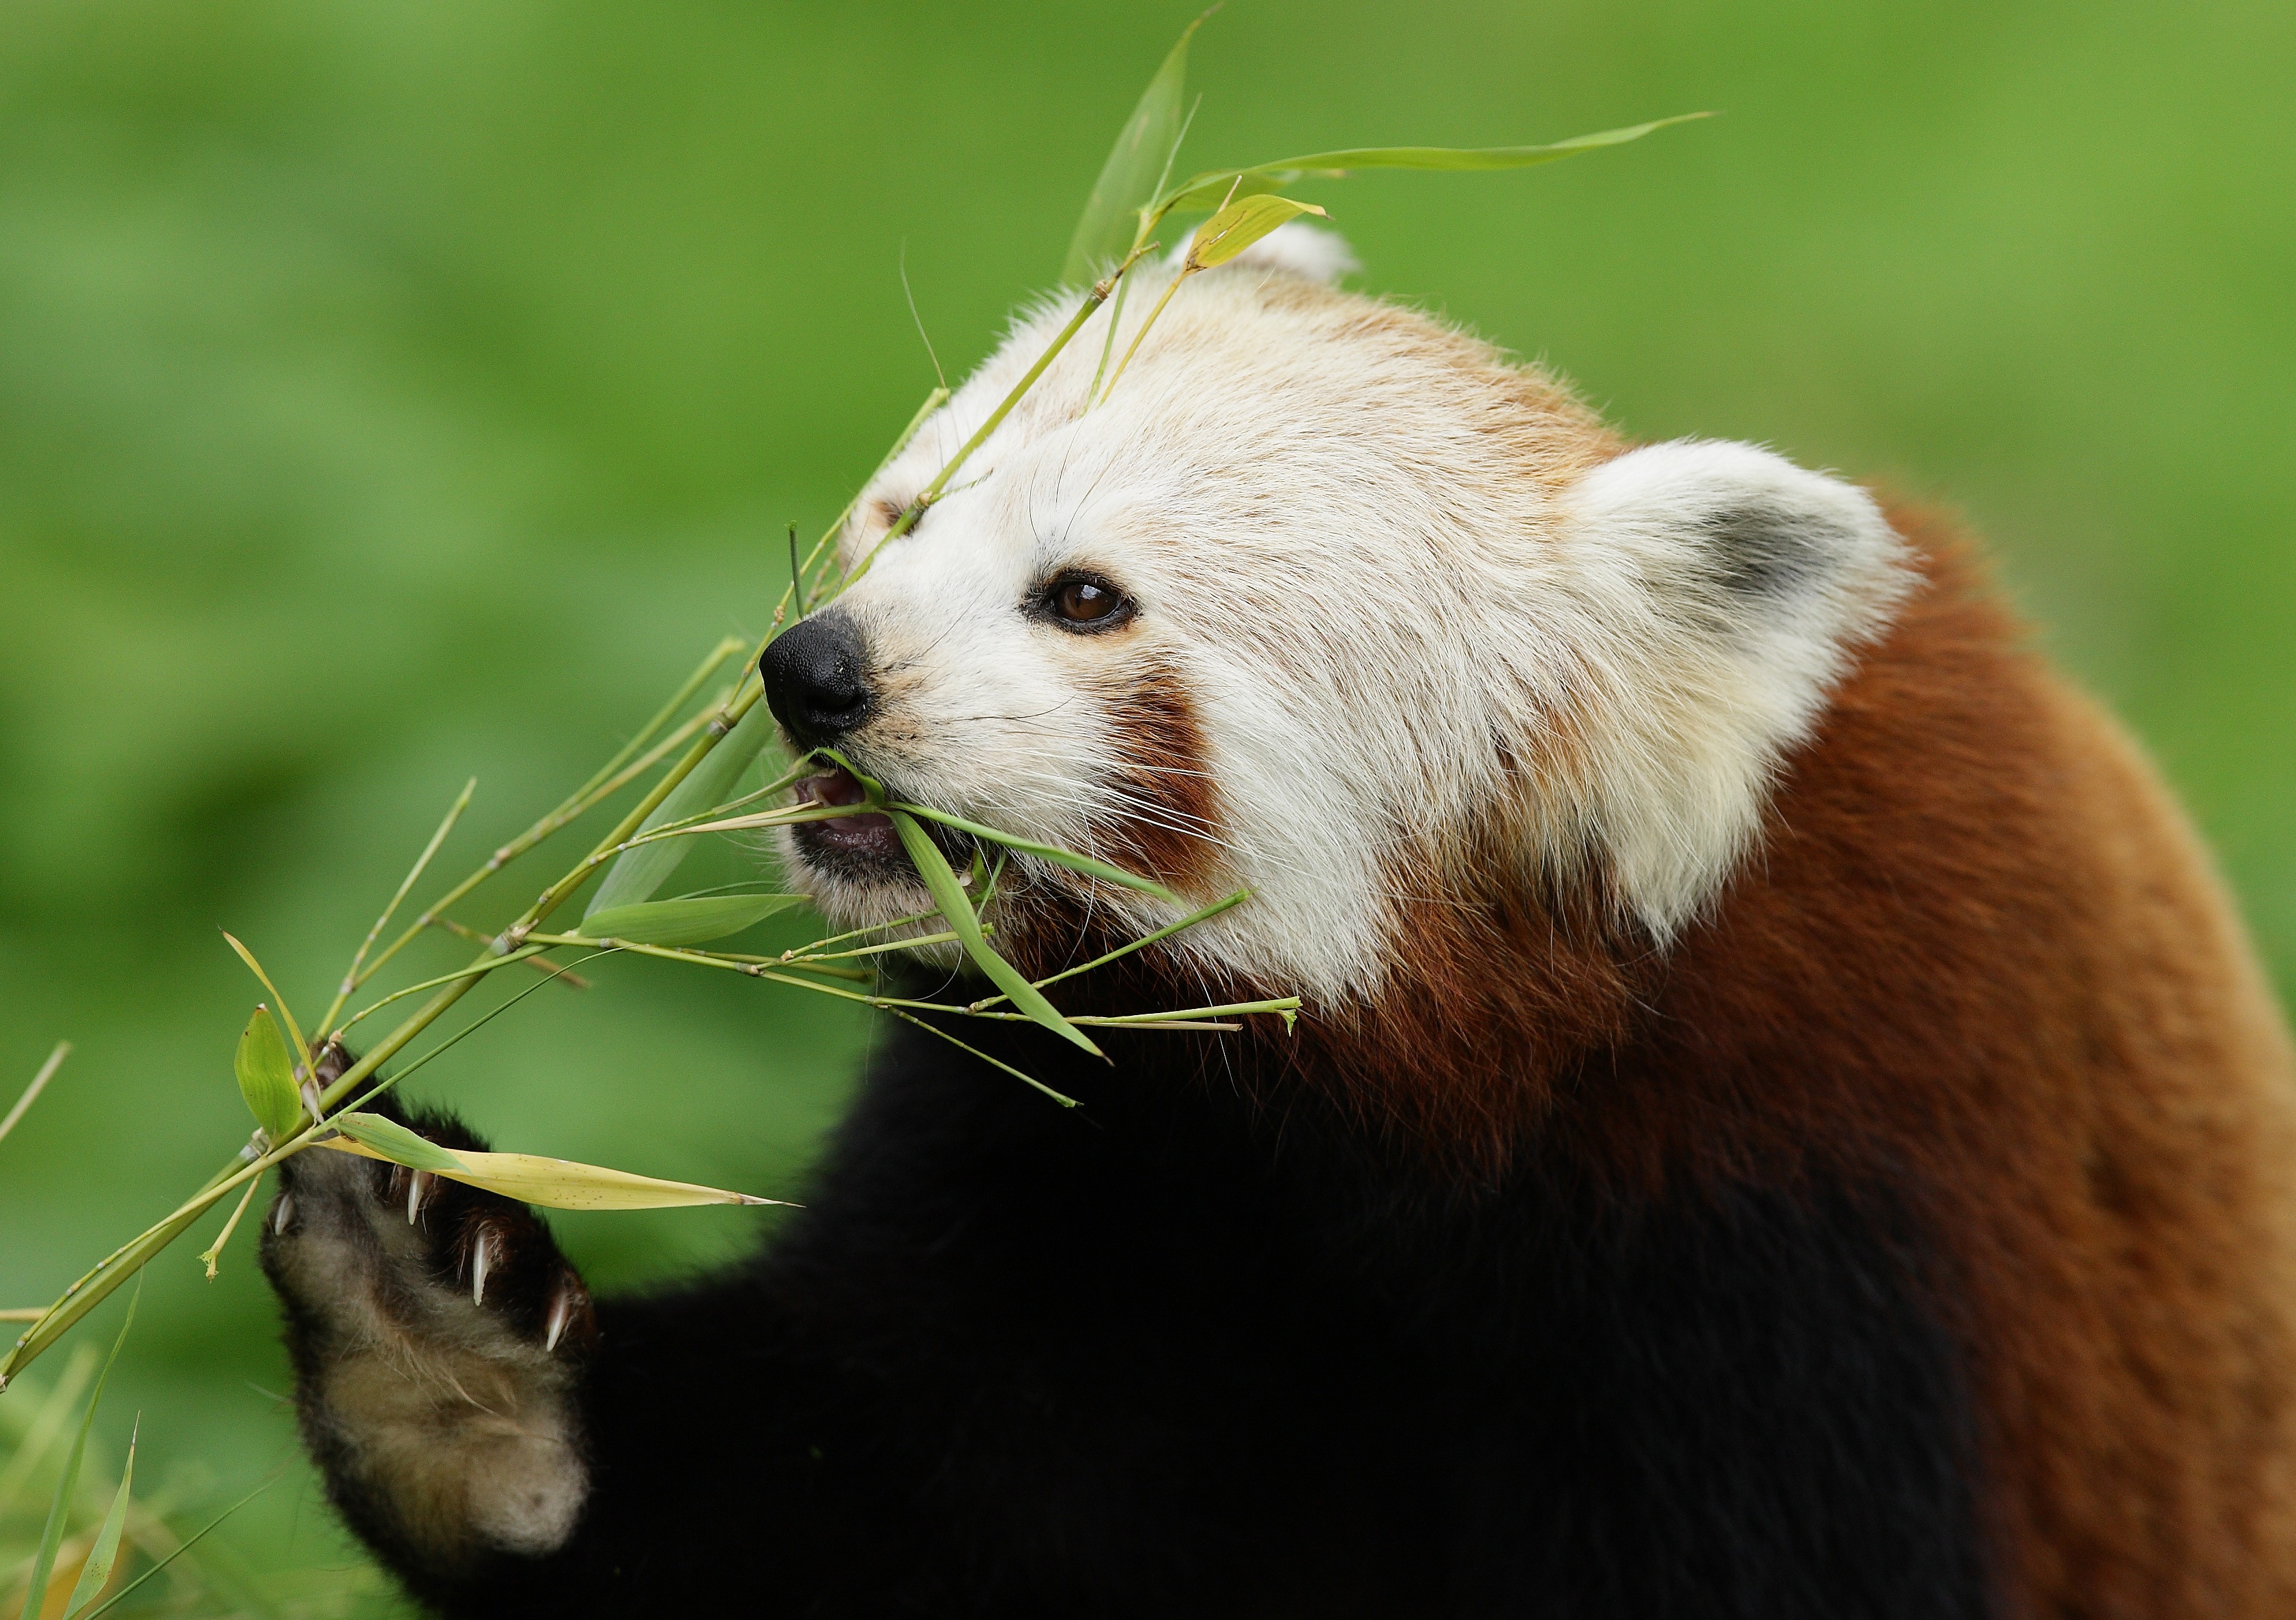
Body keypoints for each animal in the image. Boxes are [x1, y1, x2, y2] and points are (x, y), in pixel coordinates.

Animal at [259, 225, 2296, 1619]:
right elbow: (867, 1476)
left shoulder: (1800, 1212)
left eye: (1082, 598)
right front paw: (449, 1352)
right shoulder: (1086, 1170)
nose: (811, 670)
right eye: (900, 518)